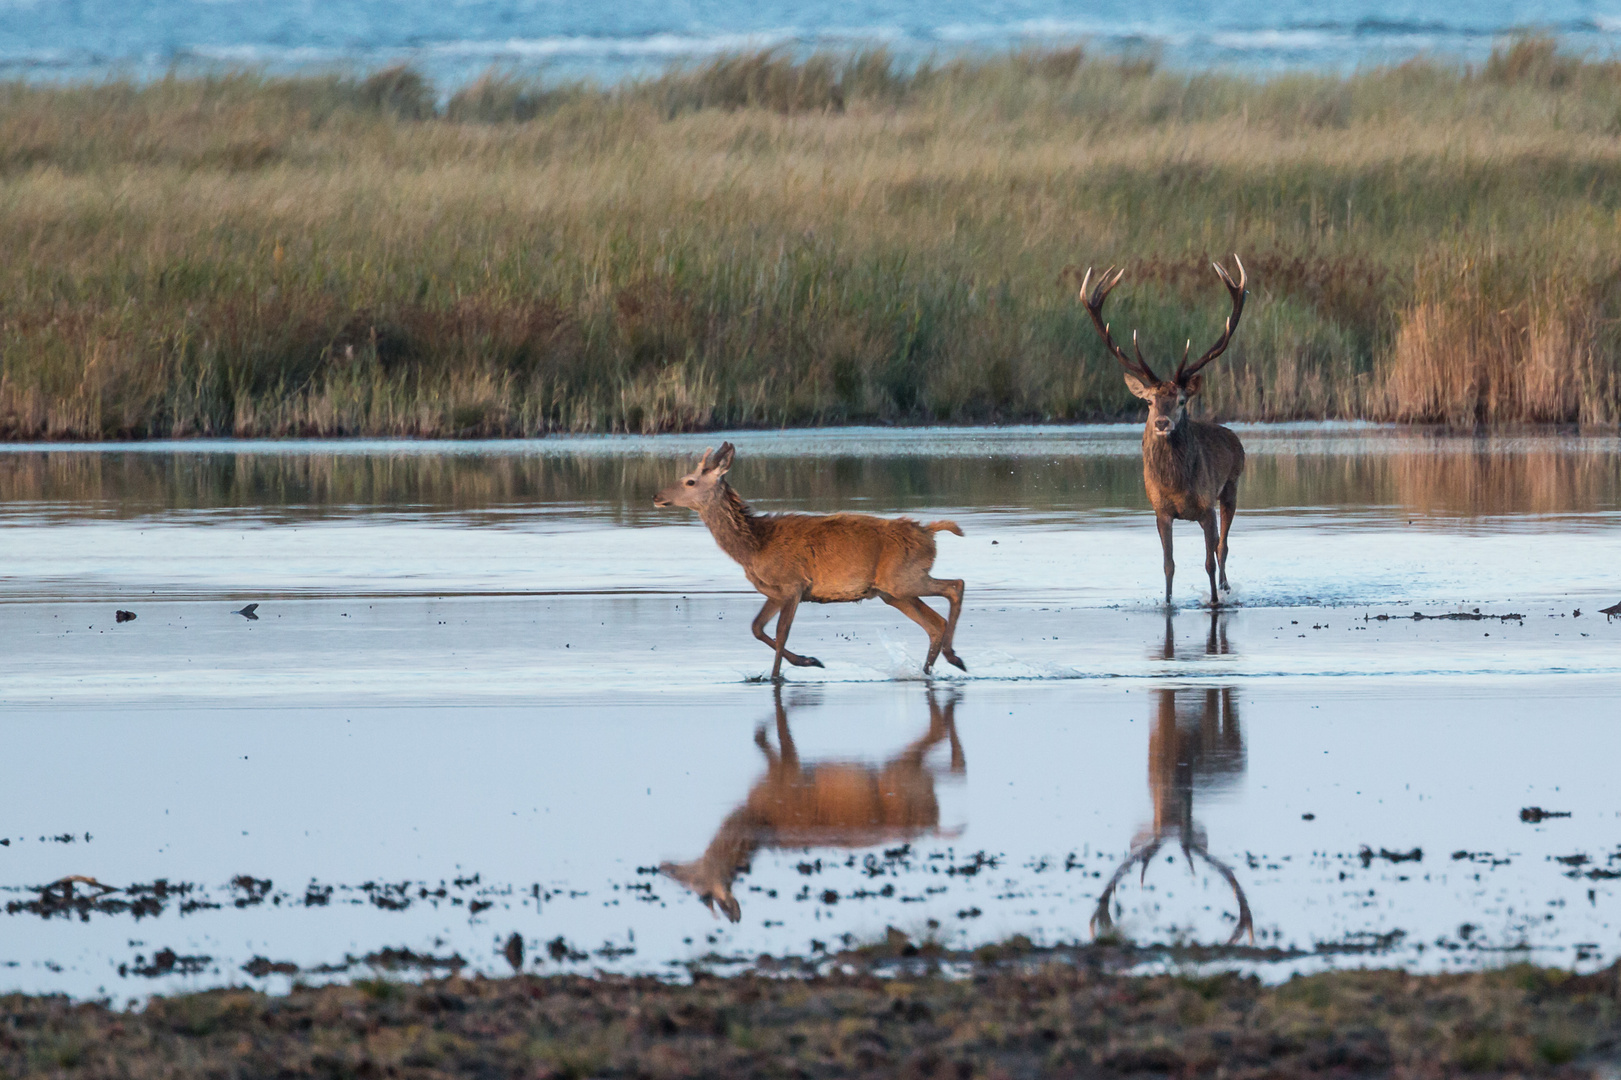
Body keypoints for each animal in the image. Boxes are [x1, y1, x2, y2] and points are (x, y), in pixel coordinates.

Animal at [654, 441, 959, 677]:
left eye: (690, 481)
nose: (657, 496)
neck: (754, 547)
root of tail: (928, 532)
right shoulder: (775, 592)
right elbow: (756, 628)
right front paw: (809, 660)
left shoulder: (793, 584)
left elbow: (780, 633)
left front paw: (777, 675)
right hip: (893, 591)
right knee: (935, 623)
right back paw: (934, 667)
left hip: (903, 579)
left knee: (955, 586)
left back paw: (951, 656)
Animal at [658, 684, 959, 921]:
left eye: (696, 886)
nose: (664, 867)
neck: (755, 819)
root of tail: (934, 821)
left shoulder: (786, 771)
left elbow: (770, 739)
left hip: (903, 771)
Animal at [1076, 254, 1251, 606]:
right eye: (1148, 401)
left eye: (1182, 400)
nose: (1161, 423)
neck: (1176, 485)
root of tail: (1233, 436)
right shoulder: (1160, 511)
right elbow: (1168, 564)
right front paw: (1168, 602)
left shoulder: (1206, 506)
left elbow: (1209, 560)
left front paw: (1213, 601)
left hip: (1231, 486)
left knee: (1223, 547)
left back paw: (1225, 589)